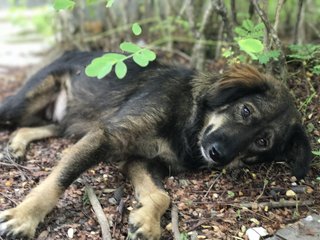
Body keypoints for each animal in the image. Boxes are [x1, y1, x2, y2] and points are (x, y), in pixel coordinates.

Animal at [0, 51, 312, 239]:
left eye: (261, 142)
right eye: (246, 111)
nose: (218, 155)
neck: (188, 119)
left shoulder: (142, 160)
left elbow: (162, 196)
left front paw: (146, 222)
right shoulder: (107, 136)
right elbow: (58, 180)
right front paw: (24, 217)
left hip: (71, 120)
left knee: (37, 126)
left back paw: (17, 145)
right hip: (22, 105)